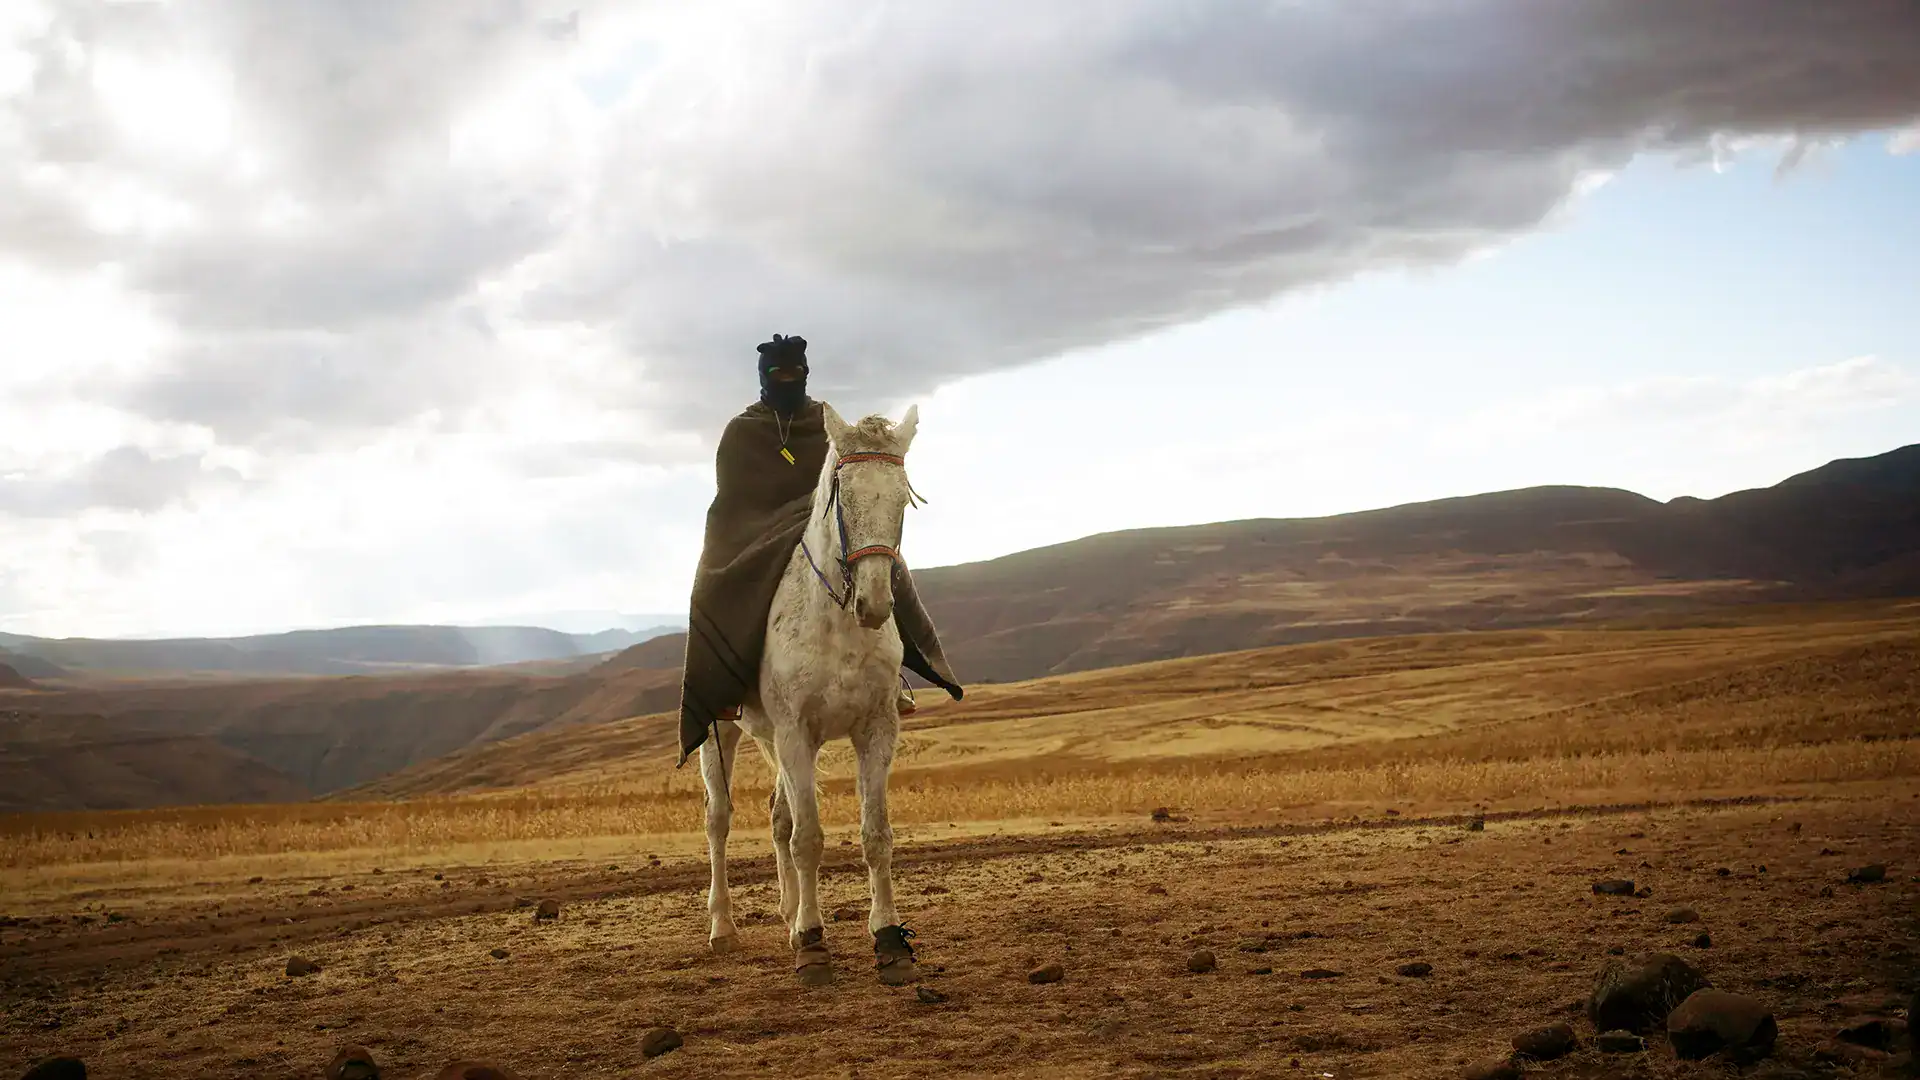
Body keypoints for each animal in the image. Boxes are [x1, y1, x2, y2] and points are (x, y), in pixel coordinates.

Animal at [699, 401, 926, 987]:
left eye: (903, 500)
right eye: (842, 496)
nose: (874, 603)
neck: (838, 627)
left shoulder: (876, 731)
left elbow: (875, 835)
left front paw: (887, 938)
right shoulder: (796, 734)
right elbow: (809, 839)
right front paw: (814, 944)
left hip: (771, 741)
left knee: (778, 813)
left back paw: (787, 913)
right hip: (723, 733)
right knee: (719, 820)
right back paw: (724, 927)